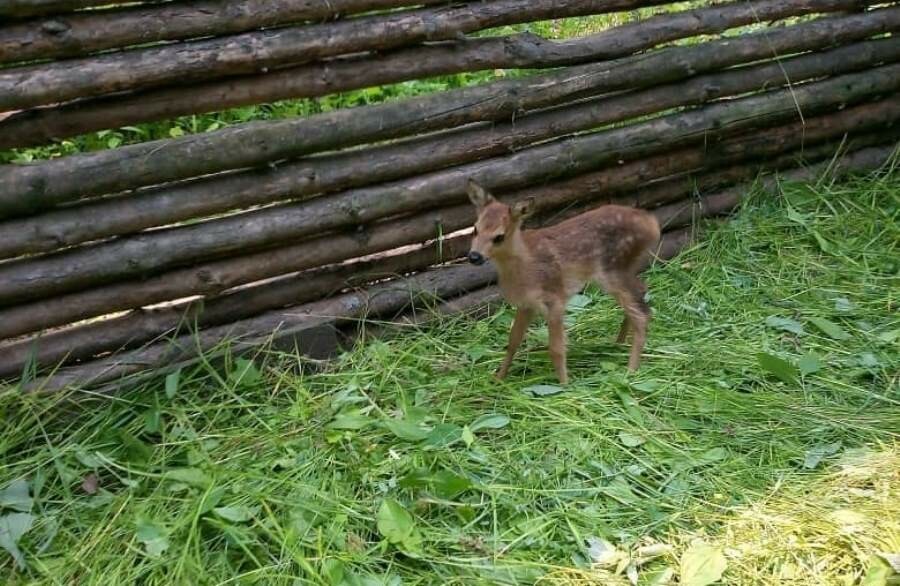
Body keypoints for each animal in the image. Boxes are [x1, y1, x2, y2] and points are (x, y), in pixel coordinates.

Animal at [468, 179, 656, 384]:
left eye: (499, 236)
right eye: (475, 229)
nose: (474, 256)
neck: (526, 267)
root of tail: (652, 224)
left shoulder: (555, 299)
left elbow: (557, 349)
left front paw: (565, 384)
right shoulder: (527, 304)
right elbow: (513, 342)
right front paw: (498, 378)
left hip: (613, 270)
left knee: (642, 314)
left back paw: (630, 371)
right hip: (624, 270)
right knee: (641, 291)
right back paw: (618, 344)